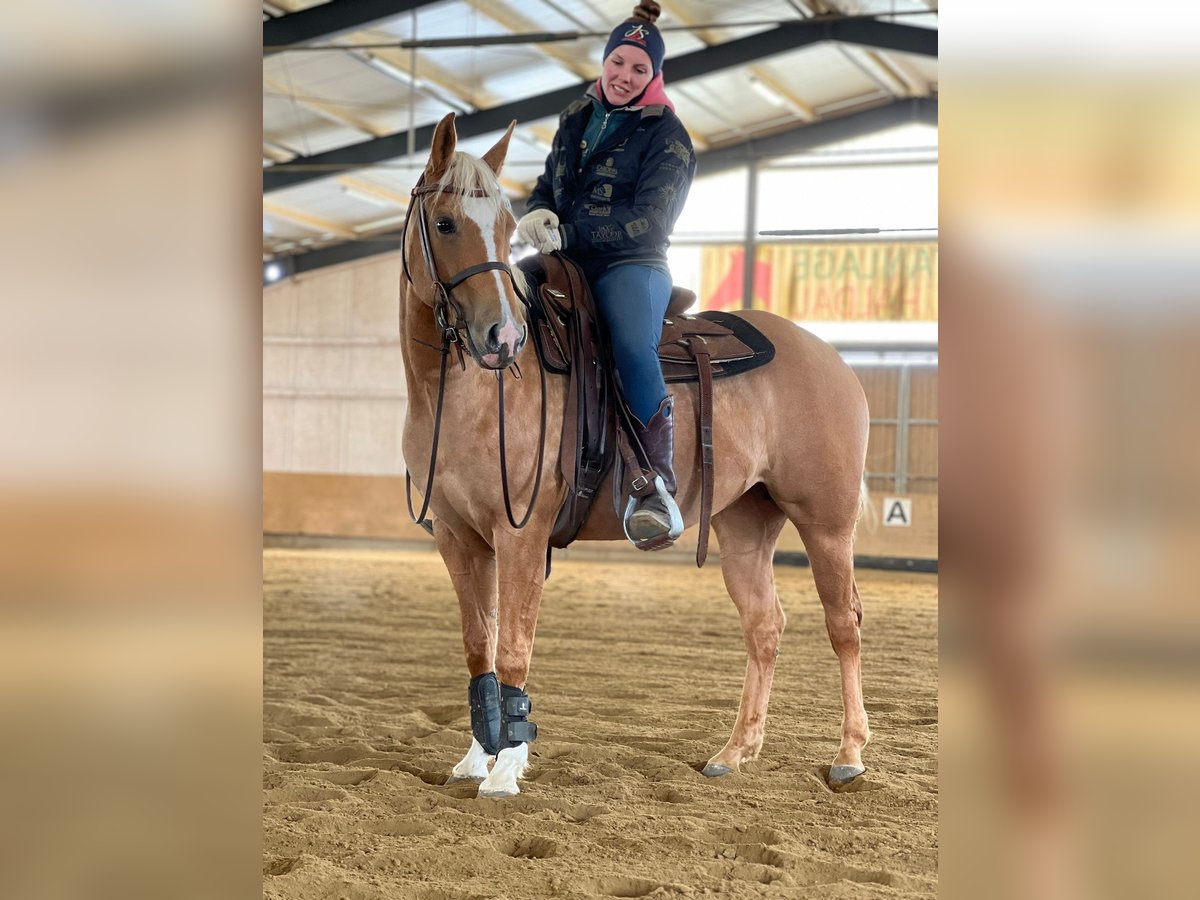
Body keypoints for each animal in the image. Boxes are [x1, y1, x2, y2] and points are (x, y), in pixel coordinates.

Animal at [399, 113, 871, 798]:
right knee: (765, 626)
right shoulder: (458, 537)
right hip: (744, 524)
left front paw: (507, 768)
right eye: (444, 224)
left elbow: (513, 646)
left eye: (508, 229)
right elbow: (478, 646)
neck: (470, 395)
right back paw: (735, 750)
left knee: (844, 625)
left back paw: (850, 753)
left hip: (826, 523)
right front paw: (474, 758)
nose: (503, 337)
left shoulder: (520, 534)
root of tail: (829, 356)